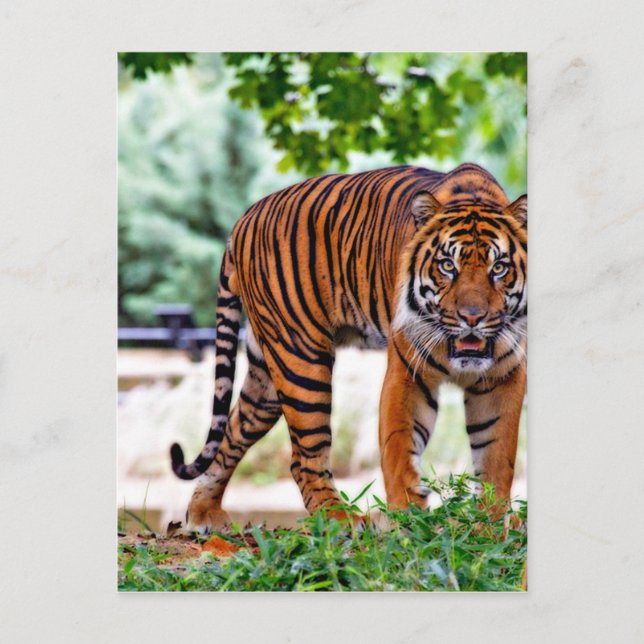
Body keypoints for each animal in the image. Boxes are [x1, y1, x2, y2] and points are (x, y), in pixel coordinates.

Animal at [170, 163, 527, 532]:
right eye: (447, 266)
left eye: (498, 268)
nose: (472, 317)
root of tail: (244, 217)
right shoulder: (408, 372)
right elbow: (400, 446)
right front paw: (408, 519)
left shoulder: (504, 376)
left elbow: (497, 455)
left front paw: (491, 522)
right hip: (301, 360)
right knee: (304, 458)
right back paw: (340, 519)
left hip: (266, 378)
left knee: (231, 433)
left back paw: (204, 514)